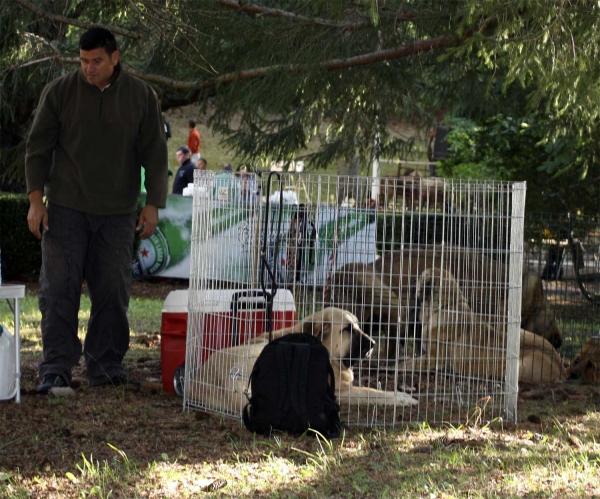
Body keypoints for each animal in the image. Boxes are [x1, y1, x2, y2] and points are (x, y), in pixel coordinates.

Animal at [192, 306, 418, 416]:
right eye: (347, 329)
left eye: (358, 326)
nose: (373, 343)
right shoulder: (341, 391)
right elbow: (372, 392)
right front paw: (402, 398)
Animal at [404, 270, 568, 382]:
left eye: (419, 278)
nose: (410, 280)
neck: (445, 306)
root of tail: (562, 368)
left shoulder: (432, 358)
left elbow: (406, 363)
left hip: (518, 367)